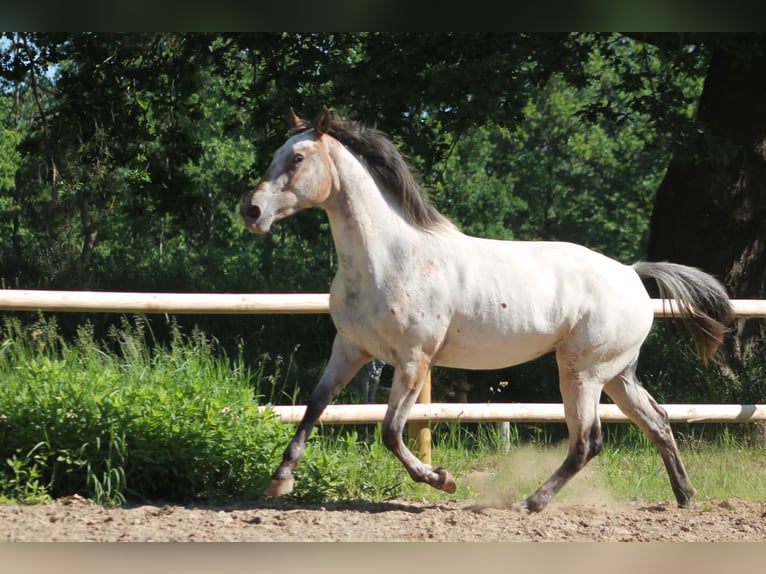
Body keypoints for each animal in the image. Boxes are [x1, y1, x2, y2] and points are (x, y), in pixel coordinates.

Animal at [242, 107, 736, 512]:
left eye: (298, 158)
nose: (252, 211)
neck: (388, 258)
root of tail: (633, 274)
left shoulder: (414, 359)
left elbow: (390, 430)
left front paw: (442, 479)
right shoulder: (350, 348)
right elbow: (314, 405)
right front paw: (280, 480)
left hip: (581, 372)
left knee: (588, 442)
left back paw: (530, 503)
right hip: (617, 374)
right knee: (658, 421)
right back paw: (684, 496)